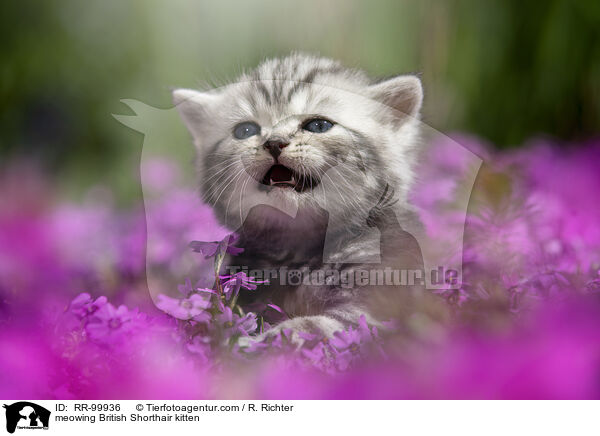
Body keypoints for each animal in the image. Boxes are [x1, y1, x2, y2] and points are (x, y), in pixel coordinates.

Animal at [172, 53, 432, 340]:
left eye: (318, 125)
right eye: (245, 131)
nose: (274, 142)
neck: (297, 254)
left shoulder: (379, 304)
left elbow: (319, 326)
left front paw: (270, 340)